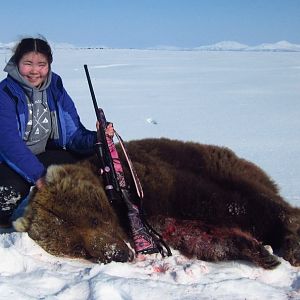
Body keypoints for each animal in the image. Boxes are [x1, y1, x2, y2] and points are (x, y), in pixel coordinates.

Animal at [13, 139, 300, 268]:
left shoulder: (155, 182)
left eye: (94, 217)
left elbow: (220, 203)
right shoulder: (163, 221)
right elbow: (202, 236)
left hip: (225, 168)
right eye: (77, 247)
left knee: (261, 201)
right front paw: (260, 252)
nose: (118, 255)